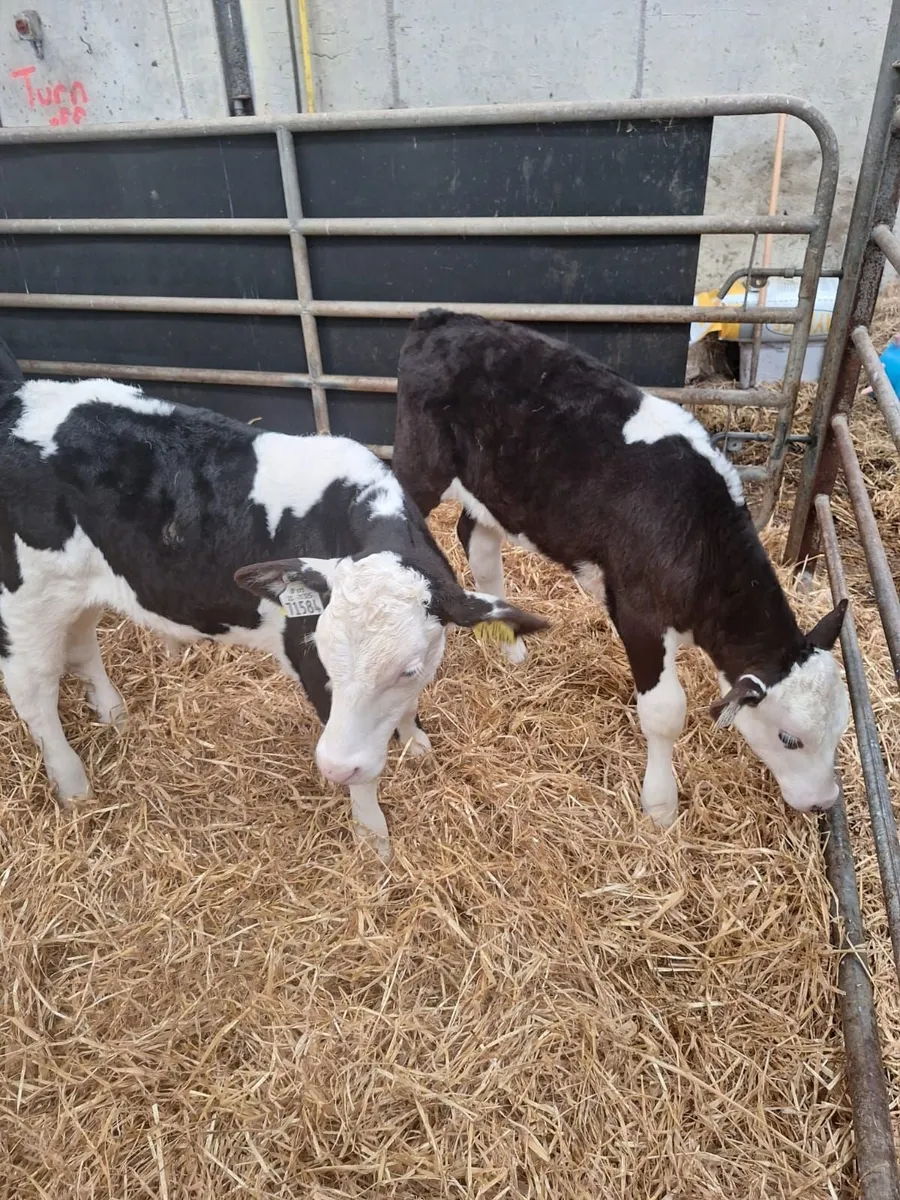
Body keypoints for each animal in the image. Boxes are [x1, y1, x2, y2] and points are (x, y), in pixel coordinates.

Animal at [0, 371, 547, 859]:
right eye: (322, 655)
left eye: (408, 669)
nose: (330, 767)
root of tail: (20, 399)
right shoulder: (309, 666)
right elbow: (363, 775)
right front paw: (373, 840)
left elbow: (407, 709)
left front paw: (413, 742)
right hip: (25, 601)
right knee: (34, 691)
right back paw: (72, 784)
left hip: (80, 587)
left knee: (81, 645)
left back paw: (113, 715)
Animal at [392, 309, 850, 828]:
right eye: (790, 738)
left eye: (841, 730)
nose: (823, 802)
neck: (699, 528)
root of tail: (444, 318)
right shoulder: (641, 614)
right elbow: (665, 713)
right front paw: (661, 804)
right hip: (420, 465)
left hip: (494, 488)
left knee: (477, 538)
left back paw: (509, 646)